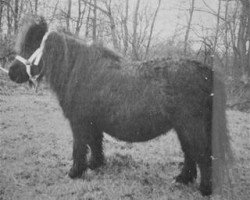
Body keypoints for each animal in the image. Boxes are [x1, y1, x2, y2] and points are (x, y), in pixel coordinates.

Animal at [9, 16, 232, 197]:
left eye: (31, 45)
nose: (11, 73)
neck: (80, 71)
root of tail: (206, 72)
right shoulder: (92, 123)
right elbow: (95, 143)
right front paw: (95, 165)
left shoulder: (79, 122)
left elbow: (80, 147)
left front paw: (75, 172)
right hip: (183, 128)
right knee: (190, 153)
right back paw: (182, 179)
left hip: (192, 127)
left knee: (202, 155)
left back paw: (205, 189)